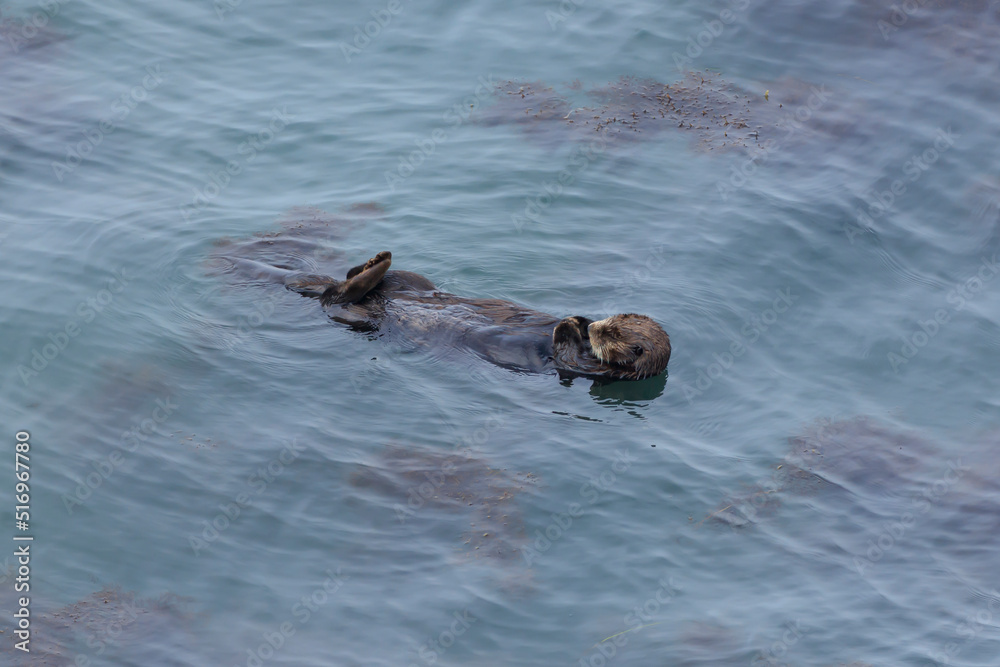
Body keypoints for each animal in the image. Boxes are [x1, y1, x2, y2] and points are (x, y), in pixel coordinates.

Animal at [285, 251, 670, 381]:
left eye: (613, 336)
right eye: (614, 320)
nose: (595, 327)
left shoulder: (584, 368)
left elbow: (564, 354)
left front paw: (569, 325)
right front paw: (578, 318)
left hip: (356, 314)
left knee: (338, 297)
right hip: (411, 281)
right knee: (358, 278)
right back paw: (377, 260)